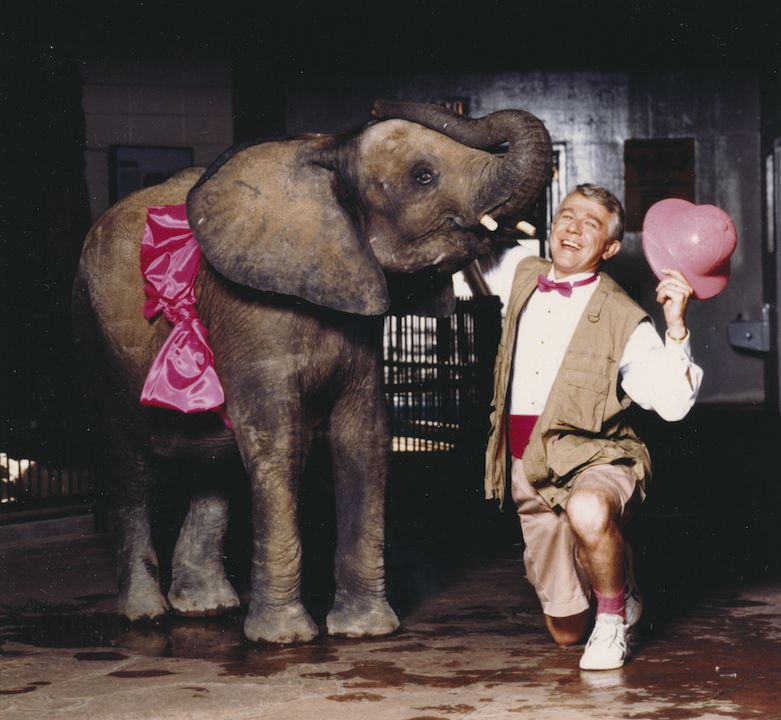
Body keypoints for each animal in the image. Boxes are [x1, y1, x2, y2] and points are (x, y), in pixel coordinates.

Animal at [71, 98, 548, 644]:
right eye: (423, 176)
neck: (325, 155)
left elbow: (364, 435)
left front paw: (365, 632)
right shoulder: (252, 316)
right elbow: (278, 439)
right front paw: (285, 639)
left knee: (212, 462)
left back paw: (205, 608)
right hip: (90, 331)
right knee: (126, 464)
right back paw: (146, 614)